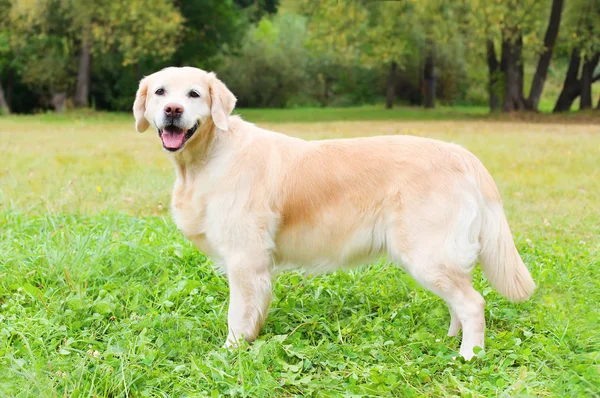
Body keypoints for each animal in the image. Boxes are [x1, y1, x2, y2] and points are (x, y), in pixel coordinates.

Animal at [132, 67, 536, 360]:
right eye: (161, 92)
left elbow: (238, 315)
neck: (207, 157)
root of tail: (462, 154)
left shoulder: (245, 258)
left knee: (473, 303)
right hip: (435, 256)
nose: (172, 111)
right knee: (459, 302)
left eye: (194, 94)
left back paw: (468, 355)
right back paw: (448, 341)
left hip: (426, 252)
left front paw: (230, 353)